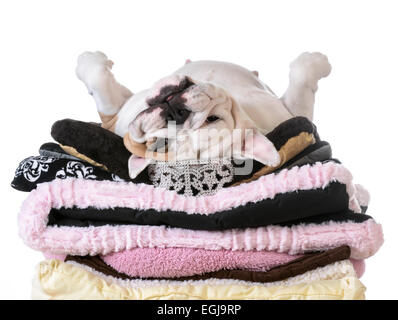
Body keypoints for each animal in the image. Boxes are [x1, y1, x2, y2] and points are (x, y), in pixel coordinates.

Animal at [76, 51, 332, 179]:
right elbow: (100, 79)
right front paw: (88, 61)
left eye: (212, 119)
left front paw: (315, 61)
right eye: (160, 143)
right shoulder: (117, 112)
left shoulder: (292, 111)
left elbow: (302, 80)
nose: (177, 113)